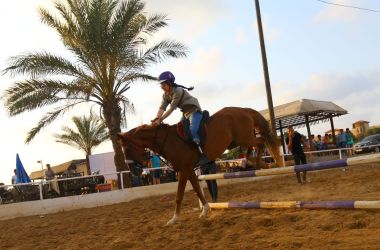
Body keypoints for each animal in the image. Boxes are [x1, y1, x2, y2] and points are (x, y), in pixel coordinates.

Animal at [117, 106, 284, 226]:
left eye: (128, 149)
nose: (134, 171)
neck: (169, 141)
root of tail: (243, 110)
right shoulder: (189, 170)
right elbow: (198, 190)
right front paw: (206, 210)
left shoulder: (184, 170)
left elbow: (179, 195)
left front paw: (174, 218)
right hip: (238, 140)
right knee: (257, 143)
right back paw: (253, 161)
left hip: (245, 138)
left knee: (261, 141)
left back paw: (259, 162)